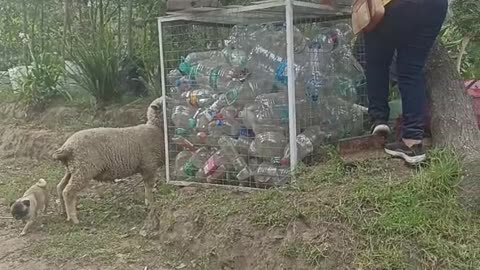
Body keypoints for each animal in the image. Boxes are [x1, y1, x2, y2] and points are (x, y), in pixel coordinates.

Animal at [52, 96, 168, 224]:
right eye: (167, 103)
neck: (156, 129)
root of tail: (67, 147)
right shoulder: (149, 165)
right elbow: (149, 188)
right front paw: (152, 206)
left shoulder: (147, 168)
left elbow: (147, 188)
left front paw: (148, 203)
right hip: (84, 169)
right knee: (68, 192)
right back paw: (74, 218)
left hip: (72, 169)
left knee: (60, 187)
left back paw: (63, 212)